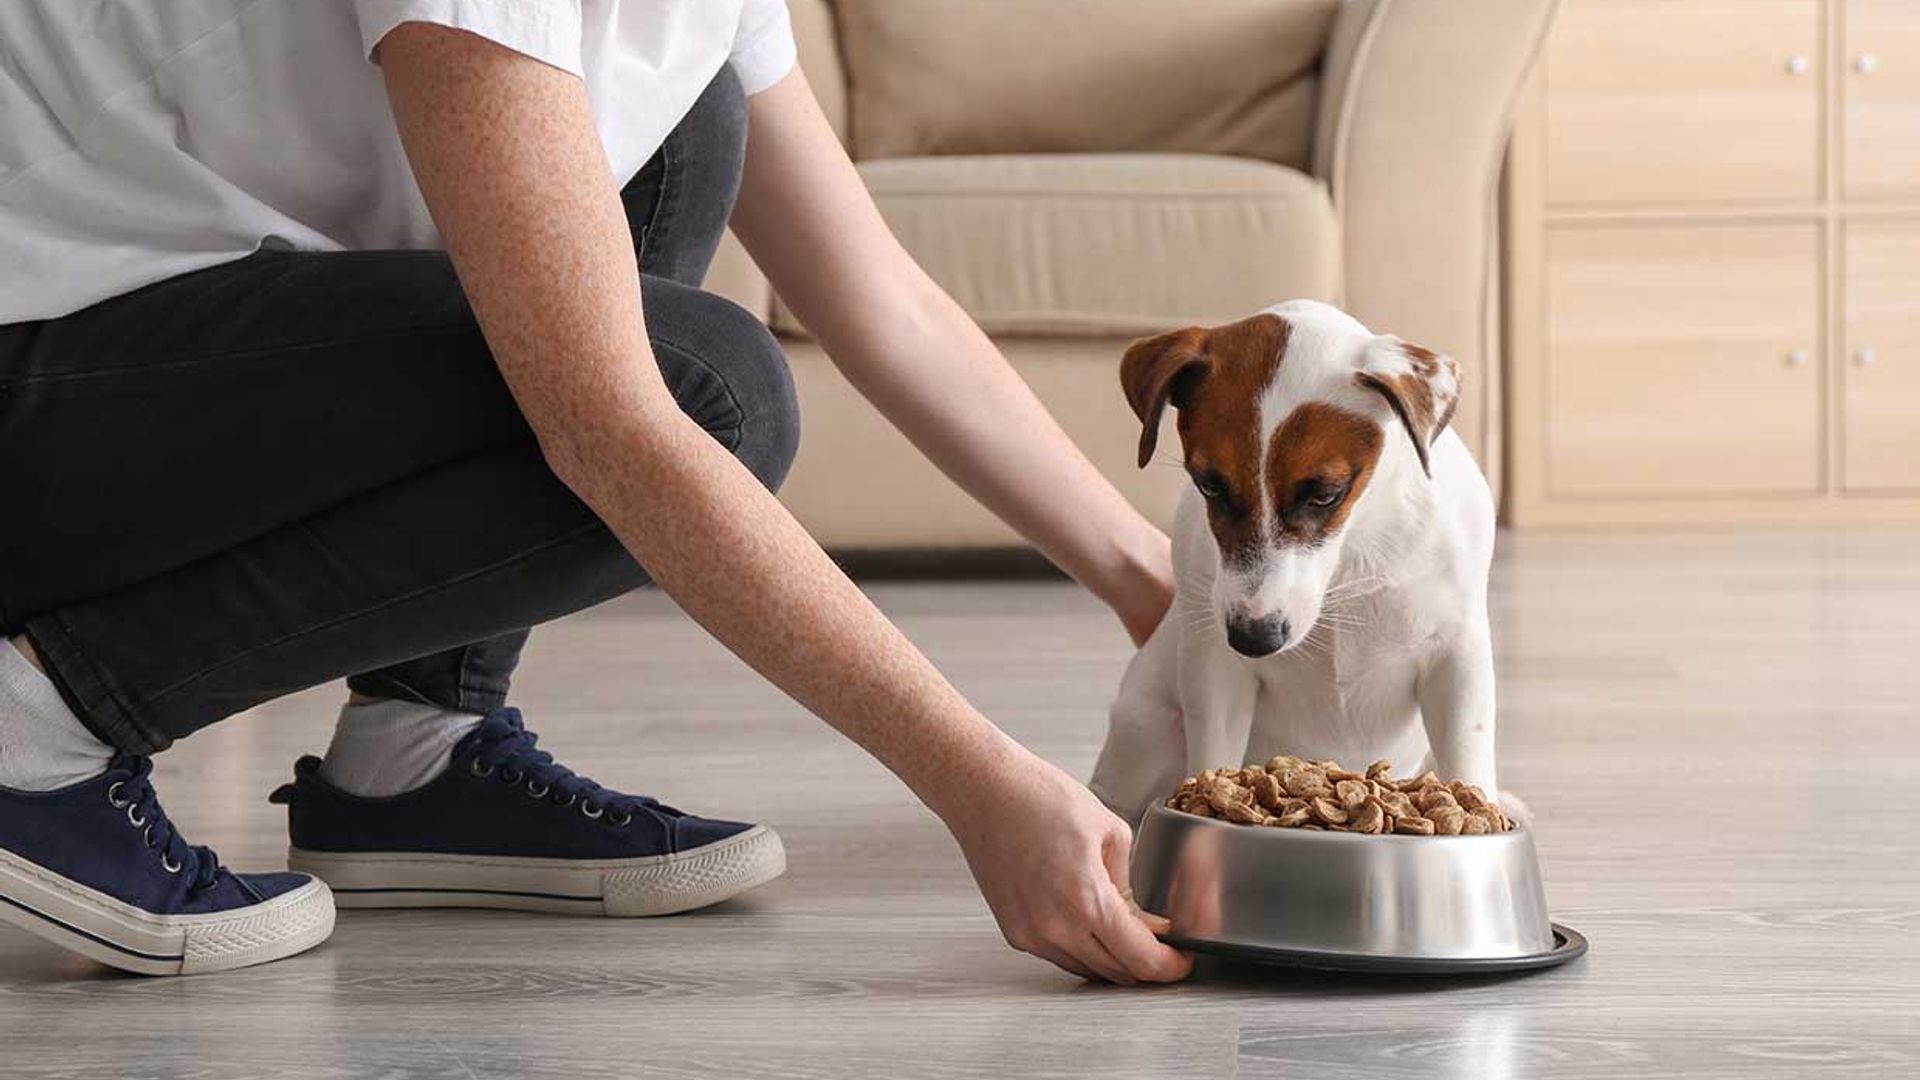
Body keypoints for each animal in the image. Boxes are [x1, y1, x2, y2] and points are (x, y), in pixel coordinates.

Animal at [1090, 297, 1505, 818]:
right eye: (1209, 485)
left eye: (1325, 494)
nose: (1254, 638)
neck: (1350, 554)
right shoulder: (1216, 669)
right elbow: (1213, 756)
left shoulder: (1456, 658)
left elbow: (1468, 763)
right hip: (1147, 725)